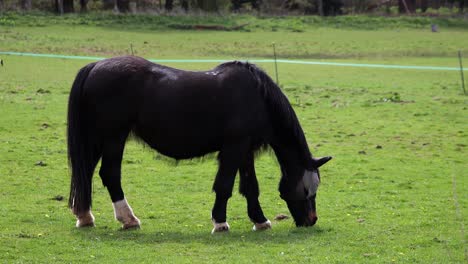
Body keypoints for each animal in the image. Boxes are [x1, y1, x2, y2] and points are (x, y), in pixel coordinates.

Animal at [66, 56, 332, 233]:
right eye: (307, 189)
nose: (311, 220)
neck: (257, 97)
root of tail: (95, 66)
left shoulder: (245, 150)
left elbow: (250, 187)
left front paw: (260, 220)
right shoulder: (233, 148)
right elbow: (224, 185)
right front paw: (220, 222)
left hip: (97, 140)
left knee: (86, 173)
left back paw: (85, 216)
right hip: (113, 138)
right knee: (110, 174)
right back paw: (128, 219)